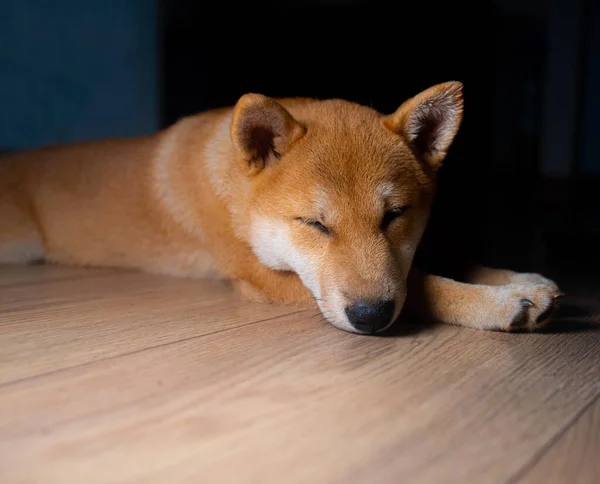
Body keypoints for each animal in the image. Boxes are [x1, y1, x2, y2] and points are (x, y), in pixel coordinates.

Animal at [1, 81, 564, 334]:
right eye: (313, 224)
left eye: (394, 216)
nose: (371, 317)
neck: (235, 188)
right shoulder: (263, 277)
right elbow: (425, 286)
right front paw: (494, 304)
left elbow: (435, 263)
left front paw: (518, 279)